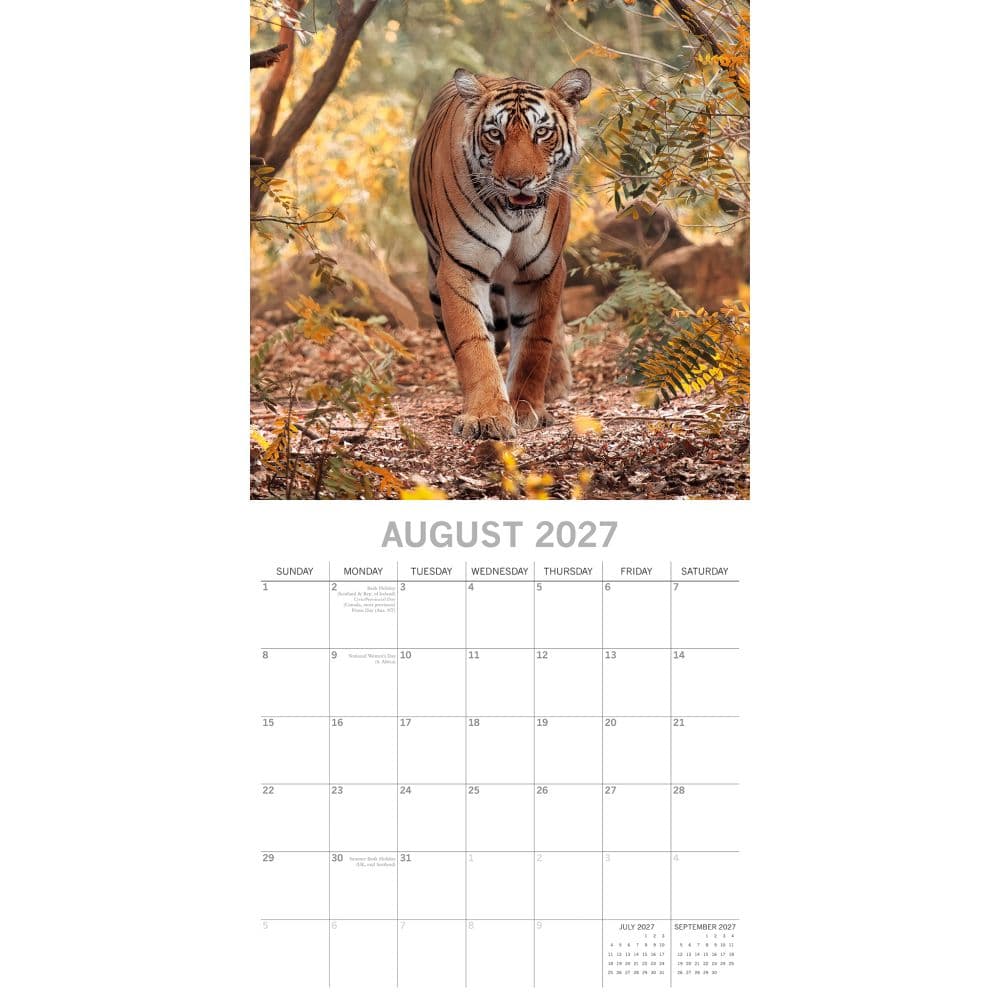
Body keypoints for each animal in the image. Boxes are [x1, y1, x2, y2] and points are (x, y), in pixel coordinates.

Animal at [409, 66, 592, 439]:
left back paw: (555, 384)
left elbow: (535, 343)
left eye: (542, 132)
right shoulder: (460, 269)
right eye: (495, 134)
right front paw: (487, 415)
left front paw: (525, 408)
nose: (519, 181)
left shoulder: (544, 271)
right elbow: (473, 344)